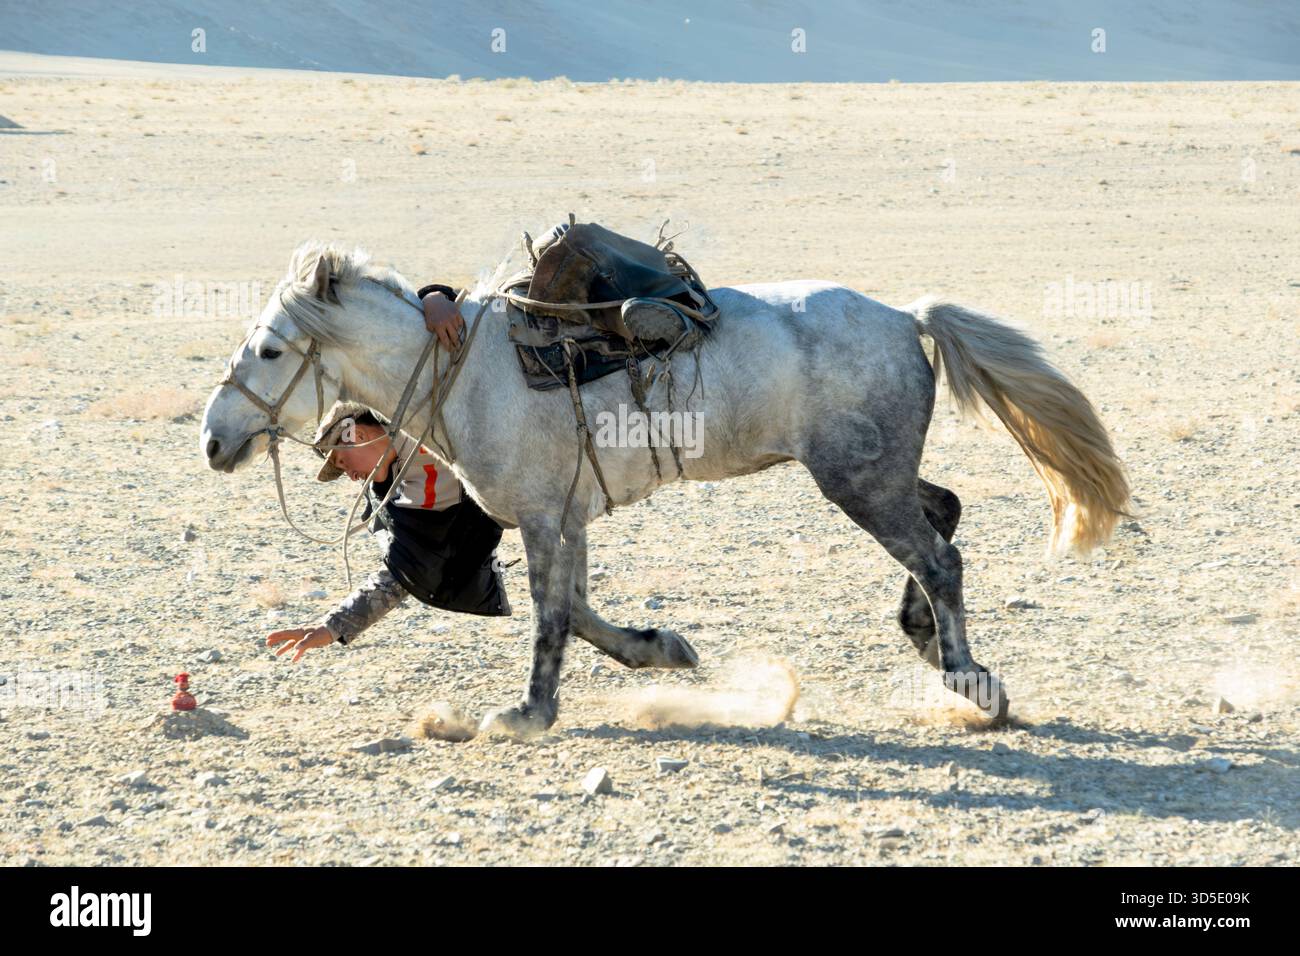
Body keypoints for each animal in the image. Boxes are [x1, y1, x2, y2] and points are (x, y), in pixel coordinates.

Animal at [199, 238, 1131, 738]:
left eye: (272, 350)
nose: (213, 439)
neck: (466, 375)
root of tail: (907, 318)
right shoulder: (568, 517)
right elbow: (576, 610)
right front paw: (663, 649)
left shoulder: (541, 517)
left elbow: (550, 618)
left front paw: (526, 714)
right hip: (876, 475)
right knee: (942, 516)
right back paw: (922, 638)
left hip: (858, 482)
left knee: (939, 559)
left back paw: (970, 679)